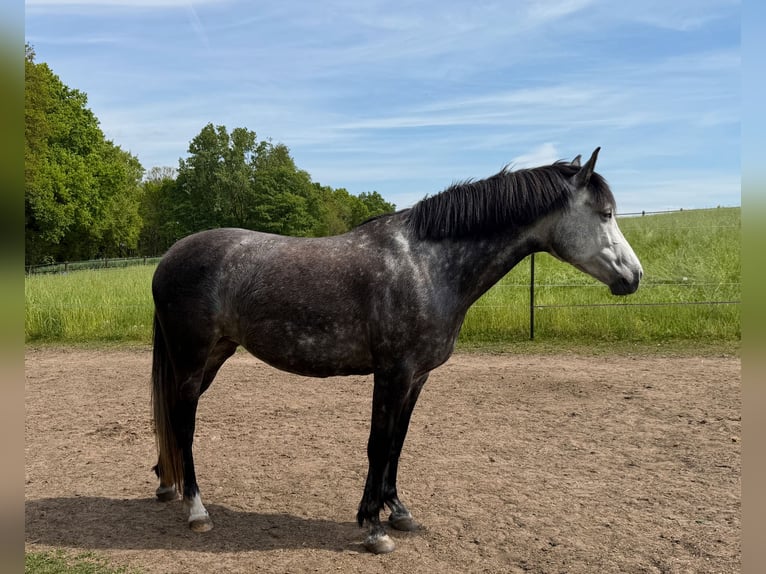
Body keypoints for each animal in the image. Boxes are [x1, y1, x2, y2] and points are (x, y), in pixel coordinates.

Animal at [150, 147, 642, 554]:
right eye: (605, 213)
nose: (634, 276)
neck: (426, 266)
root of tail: (169, 257)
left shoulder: (417, 378)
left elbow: (397, 445)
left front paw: (398, 511)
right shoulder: (392, 374)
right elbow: (378, 444)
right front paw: (372, 527)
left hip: (214, 355)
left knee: (173, 416)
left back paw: (166, 485)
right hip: (192, 359)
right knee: (183, 421)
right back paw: (197, 510)